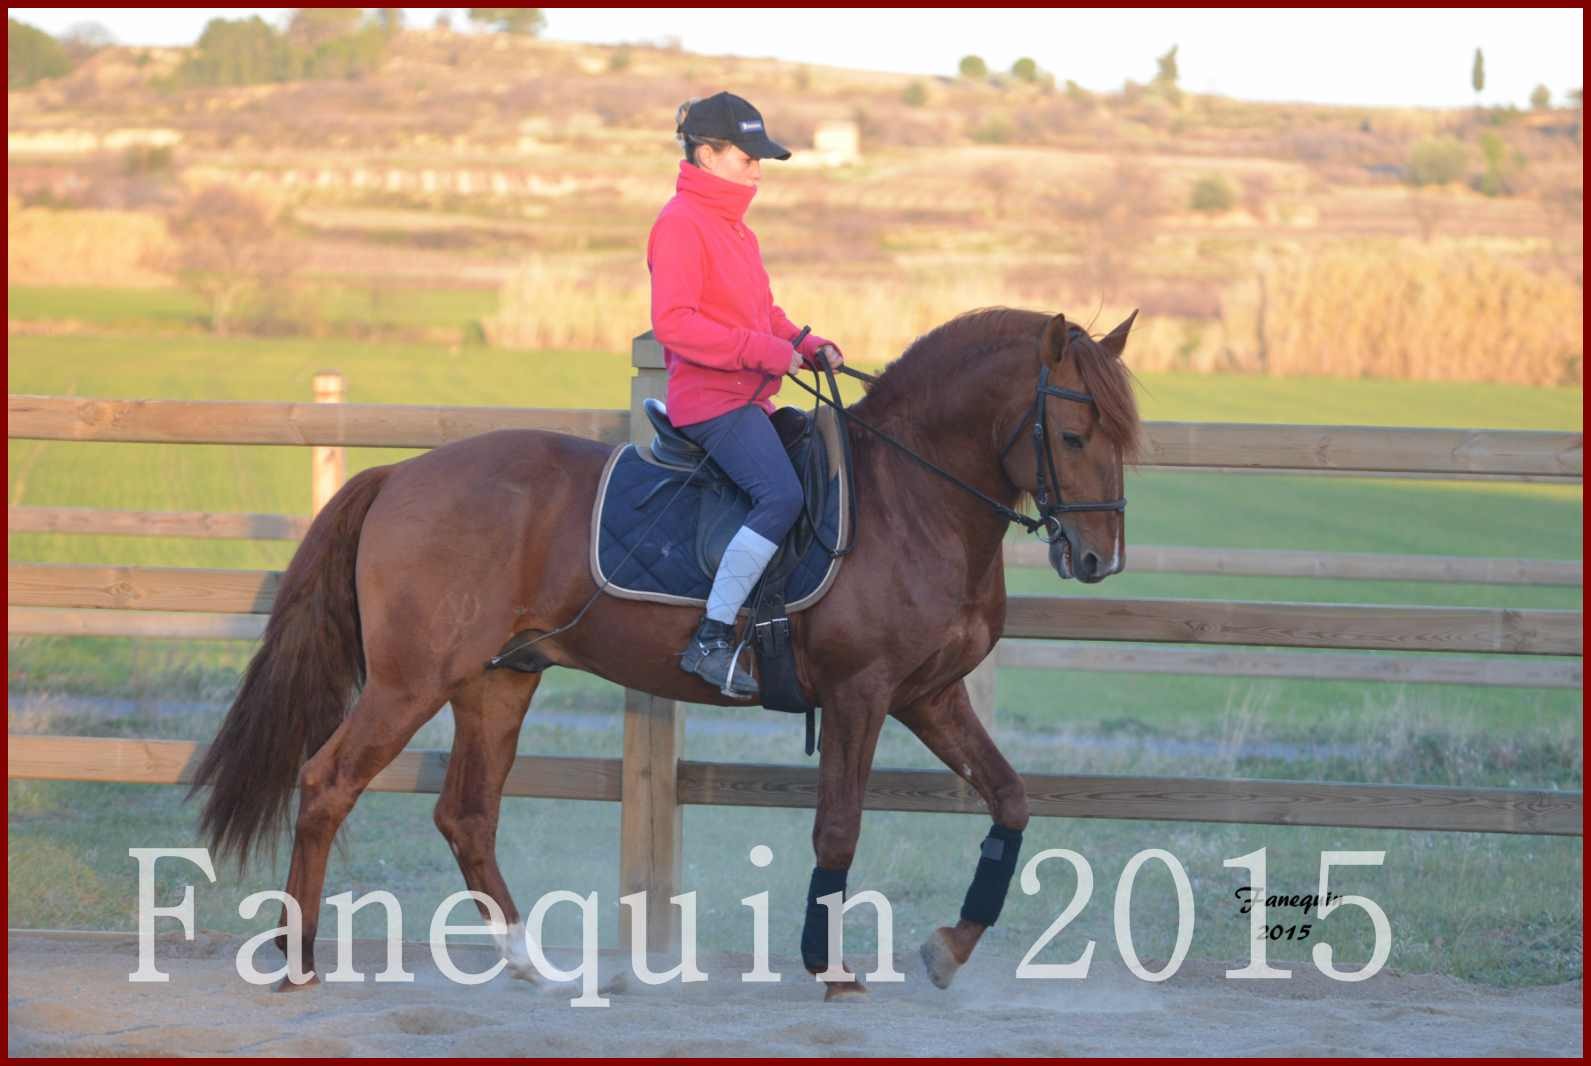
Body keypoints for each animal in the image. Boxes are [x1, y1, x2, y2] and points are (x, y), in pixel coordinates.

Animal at [186, 305, 1139, 999]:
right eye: (1073, 436)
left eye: (1122, 438)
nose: (1097, 560)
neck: (909, 498)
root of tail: (400, 474)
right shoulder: (861, 696)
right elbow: (838, 826)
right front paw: (828, 966)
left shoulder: (928, 696)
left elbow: (1010, 799)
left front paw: (947, 947)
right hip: (409, 683)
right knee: (327, 782)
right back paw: (300, 960)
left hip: (497, 683)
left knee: (466, 815)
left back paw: (530, 962)